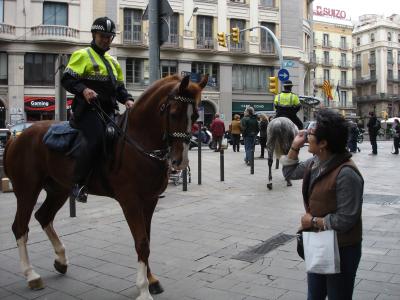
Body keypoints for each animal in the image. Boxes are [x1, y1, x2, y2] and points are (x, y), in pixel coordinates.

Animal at [3, 74, 208, 298]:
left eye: (195, 115)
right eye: (173, 113)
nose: (181, 161)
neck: (137, 142)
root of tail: (17, 137)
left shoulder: (150, 200)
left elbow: (146, 238)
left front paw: (151, 279)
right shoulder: (130, 201)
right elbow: (141, 241)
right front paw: (143, 288)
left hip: (59, 190)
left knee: (43, 216)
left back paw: (61, 260)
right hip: (27, 190)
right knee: (20, 227)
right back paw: (31, 275)